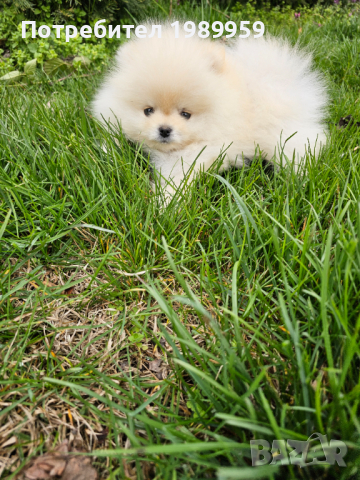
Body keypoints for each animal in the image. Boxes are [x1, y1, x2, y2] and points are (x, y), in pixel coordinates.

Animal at [91, 22, 328, 198]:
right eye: (148, 111)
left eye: (185, 114)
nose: (165, 130)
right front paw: (106, 152)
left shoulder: (198, 152)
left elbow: (177, 177)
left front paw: (166, 206)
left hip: (287, 138)